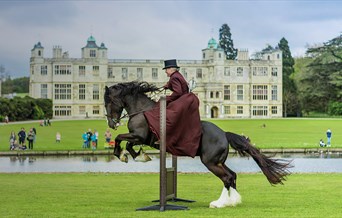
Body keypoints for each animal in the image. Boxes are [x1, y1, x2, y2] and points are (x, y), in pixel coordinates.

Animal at [104, 81, 292, 208]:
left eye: (109, 102)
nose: (111, 124)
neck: (142, 110)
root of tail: (224, 134)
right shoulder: (139, 138)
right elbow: (127, 144)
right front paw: (136, 155)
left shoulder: (139, 136)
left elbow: (121, 139)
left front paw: (125, 155)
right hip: (218, 161)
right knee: (233, 176)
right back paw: (232, 201)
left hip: (209, 162)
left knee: (227, 178)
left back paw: (219, 203)